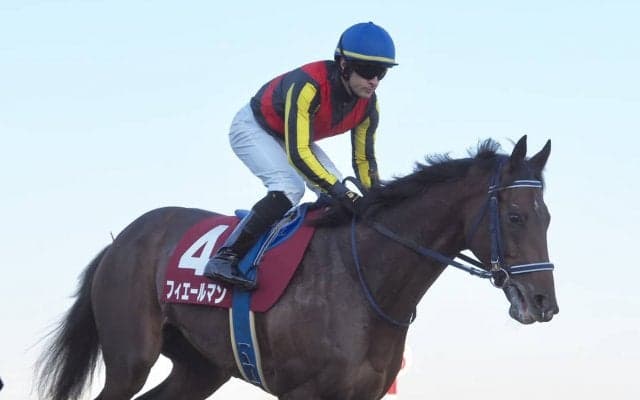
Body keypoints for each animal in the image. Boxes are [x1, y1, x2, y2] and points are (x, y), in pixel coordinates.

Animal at [37, 135, 558, 400]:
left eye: (547, 217)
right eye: (515, 217)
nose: (544, 303)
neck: (365, 278)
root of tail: (121, 241)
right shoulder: (303, 393)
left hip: (199, 368)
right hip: (130, 357)